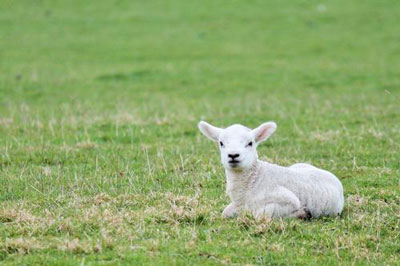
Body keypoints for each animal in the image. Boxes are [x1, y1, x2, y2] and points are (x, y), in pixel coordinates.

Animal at [197, 121, 344, 219]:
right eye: (221, 143)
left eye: (250, 143)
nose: (233, 155)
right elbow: (225, 213)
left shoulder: (288, 199)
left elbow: (260, 214)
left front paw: (302, 213)